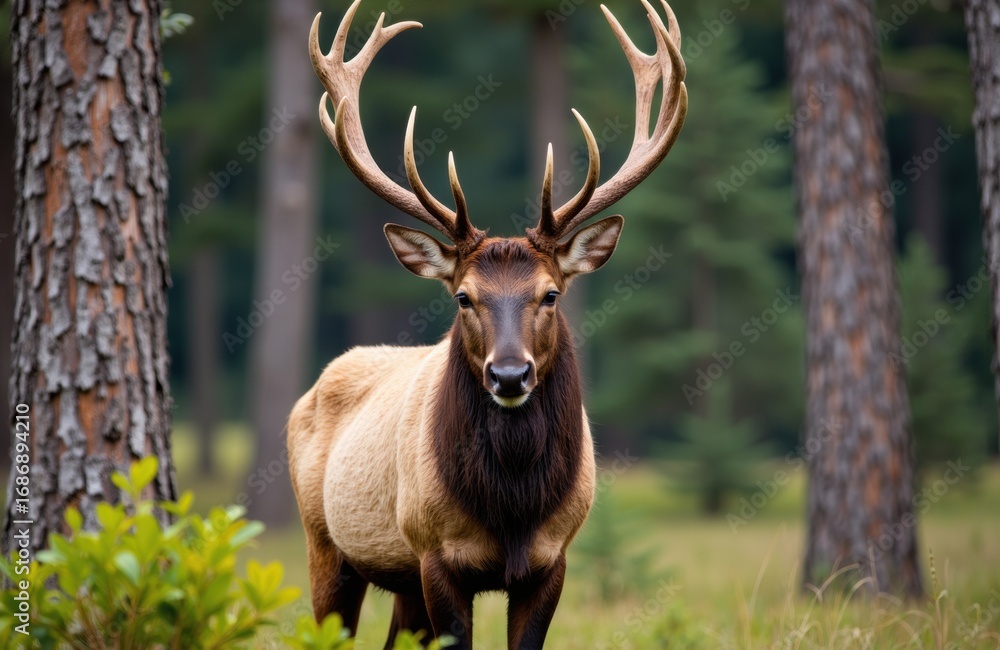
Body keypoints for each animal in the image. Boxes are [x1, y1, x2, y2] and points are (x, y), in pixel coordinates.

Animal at [289, 0, 686, 647]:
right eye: (463, 298)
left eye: (551, 294)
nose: (509, 375)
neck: (514, 511)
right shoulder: (435, 552)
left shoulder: (553, 558)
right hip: (325, 545)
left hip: (398, 582)